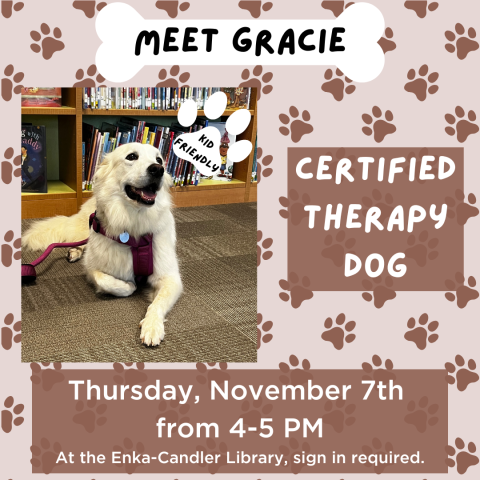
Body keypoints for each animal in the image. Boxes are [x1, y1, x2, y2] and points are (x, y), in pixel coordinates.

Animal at [21, 142, 182, 344]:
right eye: (131, 156)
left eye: (159, 160)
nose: (158, 169)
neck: (134, 224)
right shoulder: (92, 269)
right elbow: (109, 281)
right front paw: (130, 286)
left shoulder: (171, 278)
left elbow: (158, 303)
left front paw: (152, 326)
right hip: (86, 227)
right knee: (80, 241)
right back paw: (74, 251)